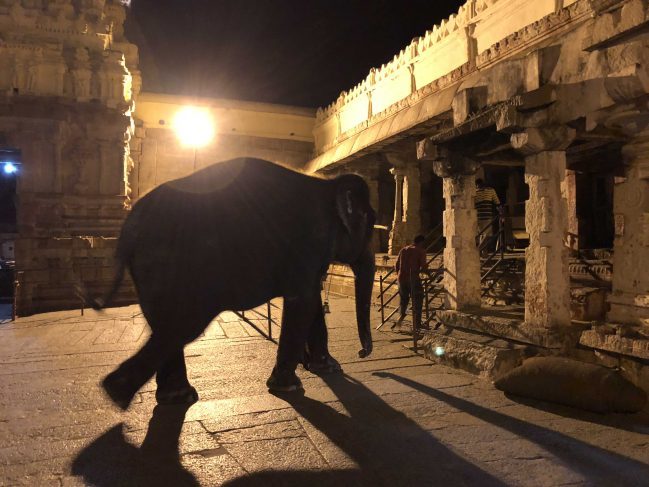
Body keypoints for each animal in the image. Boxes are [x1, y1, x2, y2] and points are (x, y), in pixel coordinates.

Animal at [88, 156, 378, 408]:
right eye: (370, 224)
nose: (362, 353)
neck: (327, 183)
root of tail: (128, 227)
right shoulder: (307, 242)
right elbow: (304, 301)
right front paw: (289, 387)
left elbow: (311, 300)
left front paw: (327, 369)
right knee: (185, 324)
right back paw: (121, 393)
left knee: (164, 323)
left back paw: (170, 397)